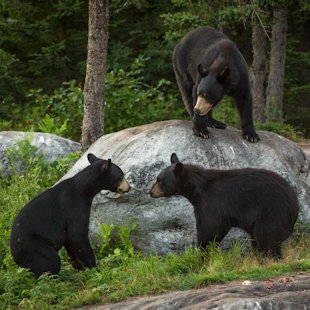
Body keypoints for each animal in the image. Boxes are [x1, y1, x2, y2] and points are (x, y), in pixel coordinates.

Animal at [149, 154, 300, 258]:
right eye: (157, 178)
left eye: (160, 181)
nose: (150, 192)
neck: (197, 190)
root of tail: (295, 206)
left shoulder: (212, 203)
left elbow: (208, 228)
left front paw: (201, 253)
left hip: (271, 212)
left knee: (266, 237)